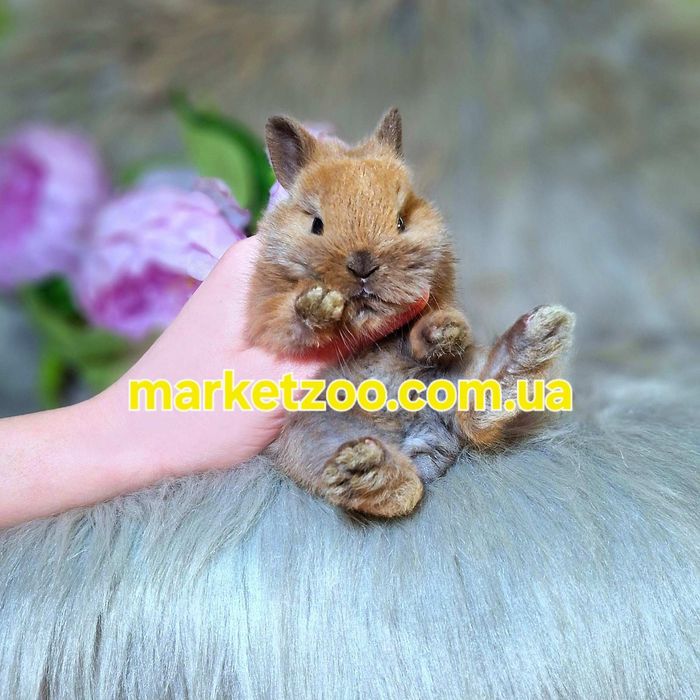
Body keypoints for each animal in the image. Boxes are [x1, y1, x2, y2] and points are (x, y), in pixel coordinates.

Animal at [248, 108, 575, 518]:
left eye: (401, 221)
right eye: (316, 224)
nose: (363, 265)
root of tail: (419, 439)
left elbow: (420, 332)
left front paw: (446, 331)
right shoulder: (264, 317)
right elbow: (288, 322)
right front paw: (319, 304)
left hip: (455, 380)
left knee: (472, 413)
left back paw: (537, 336)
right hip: (313, 437)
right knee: (403, 489)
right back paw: (365, 468)